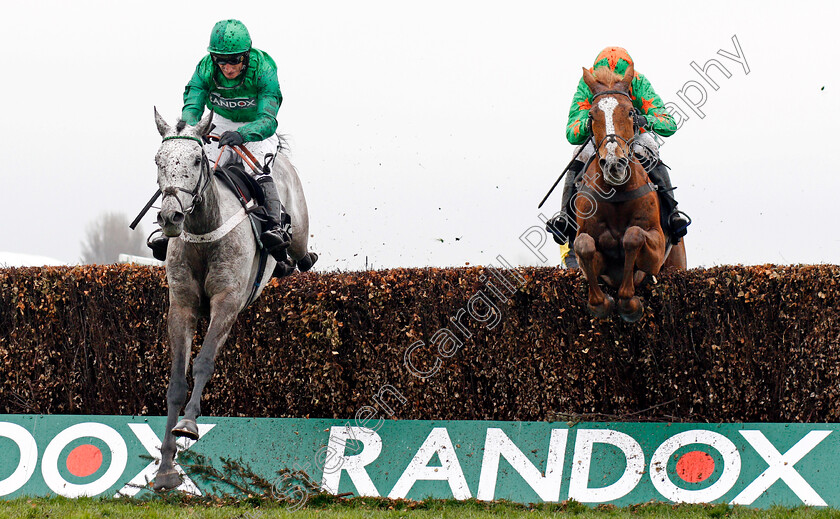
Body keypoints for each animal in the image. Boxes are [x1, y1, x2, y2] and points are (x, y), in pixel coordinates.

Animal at [151, 109, 316, 492]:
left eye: (197, 160)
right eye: (159, 161)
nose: (170, 217)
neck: (203, 233)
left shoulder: (226, 303)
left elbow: (203, 363)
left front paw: (188, 425)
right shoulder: (181, 306)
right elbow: (177, 381)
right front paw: (166, 468)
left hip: (298, 230)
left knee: (302, 255)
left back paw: (292, 256)